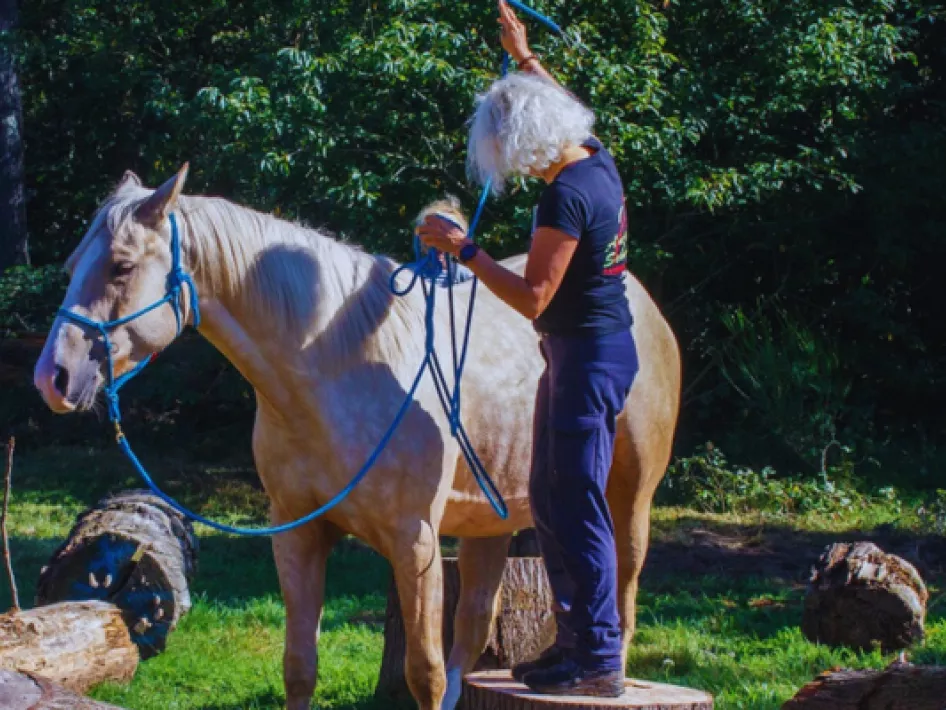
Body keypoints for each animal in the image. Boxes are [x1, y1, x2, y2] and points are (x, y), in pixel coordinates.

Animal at [34, 166, 681, 710]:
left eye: (121, 266)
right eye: (72, 265)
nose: (53, 377)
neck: (335, 367)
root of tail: (641, 301)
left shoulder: (415, 543)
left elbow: (423, 673)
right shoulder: (297, 535)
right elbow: (300, 666)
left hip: (628, 501)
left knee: (620, 595)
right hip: (491, 525)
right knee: (475, 626)